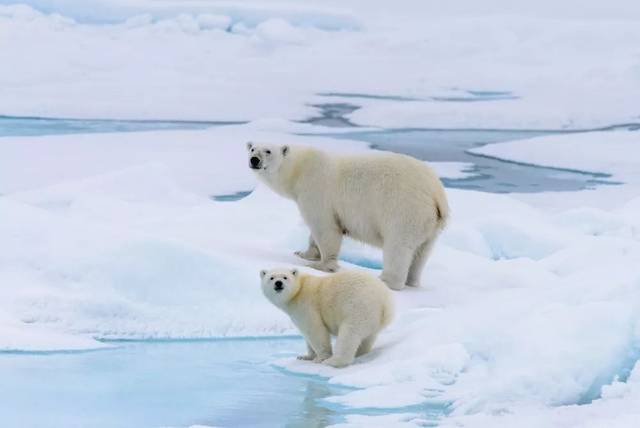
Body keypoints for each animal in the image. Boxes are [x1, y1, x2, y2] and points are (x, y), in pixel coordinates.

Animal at [246, 144, 450, 290]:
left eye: (268, 150)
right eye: (252, 148)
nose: (254, 160)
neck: (300, 168)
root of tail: (436, 194)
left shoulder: (316, 190)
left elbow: (325, 228)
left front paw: (322, 265)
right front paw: (304, 253)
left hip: (405, 210)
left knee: (398, 247)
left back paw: (386, 280)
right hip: (430, 224)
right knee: (422, 252)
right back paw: (412, 281)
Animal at [258, 268, 390, 368]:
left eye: (285, 277)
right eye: (271, 277)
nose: (278, 283)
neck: (299, 290)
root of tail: (385, 302)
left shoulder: (306, 305)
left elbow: (315, 330)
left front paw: (320, 358)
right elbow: (307, 335)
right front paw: (305, 356)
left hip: (357, 307)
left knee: (349, 335)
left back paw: (333, 361)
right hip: (373, 319)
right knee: (368, 338)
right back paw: (360, 354)